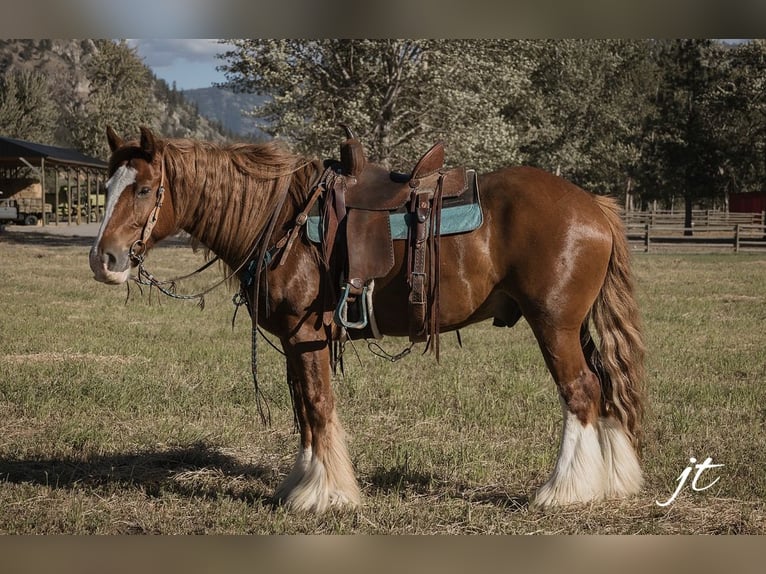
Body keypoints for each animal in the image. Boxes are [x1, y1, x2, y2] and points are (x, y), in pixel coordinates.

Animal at [89, 126, 645, 513]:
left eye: (143, 189)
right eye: (107, 186)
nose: (104, 259)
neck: (280, 219)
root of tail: (593, 205)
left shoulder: (307, 334)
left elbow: (317, 405)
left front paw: (324, 495)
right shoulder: (294, 342)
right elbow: (303, 408)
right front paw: (304, 483)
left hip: (553, 324)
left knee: (580, 392)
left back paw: (564, 490)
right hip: (576, 327)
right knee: (603, 387)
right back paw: (613, 481)